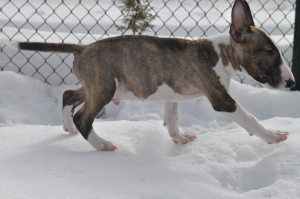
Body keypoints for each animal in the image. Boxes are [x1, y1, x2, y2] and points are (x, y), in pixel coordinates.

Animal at [8, 0, 294, 150]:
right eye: (269, 51)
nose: (291, 82)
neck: (222, 52)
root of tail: (84, 47)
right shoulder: (221, 99)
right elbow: (250, 119)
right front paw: (273, 136)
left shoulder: (173, 92)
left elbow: (172, 116)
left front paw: (179, 138)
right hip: (104, 88)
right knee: (83, 116)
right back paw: (101, 144)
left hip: (98, 85)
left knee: (69, 95)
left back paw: (68, 128)